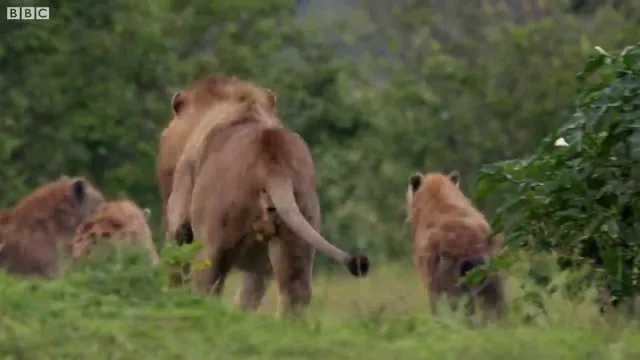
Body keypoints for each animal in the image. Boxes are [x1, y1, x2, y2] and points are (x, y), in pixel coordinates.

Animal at [165, 74, 370, 316]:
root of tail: (272, 163)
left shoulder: (181, 202)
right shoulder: (263, 266)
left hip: (211, 244)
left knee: (208, 288)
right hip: (298, 235)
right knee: (294, 296)